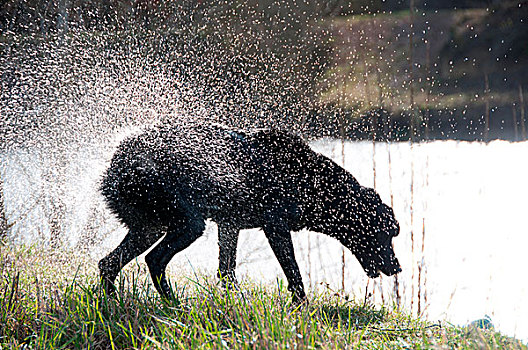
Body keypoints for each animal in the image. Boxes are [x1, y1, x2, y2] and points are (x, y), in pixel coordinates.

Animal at [99, 121, 402, 302]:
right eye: (387, 232)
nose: (397, 267)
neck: (310, 182)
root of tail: (113, 168)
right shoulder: (275, 227)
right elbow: (294, 273)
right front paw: (301, 306)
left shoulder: (229, 225)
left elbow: (227, 270)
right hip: (187, 224)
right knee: (154, 260)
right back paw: (173, 304)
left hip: (148, 227)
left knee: (108, 263)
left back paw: (112, 301)